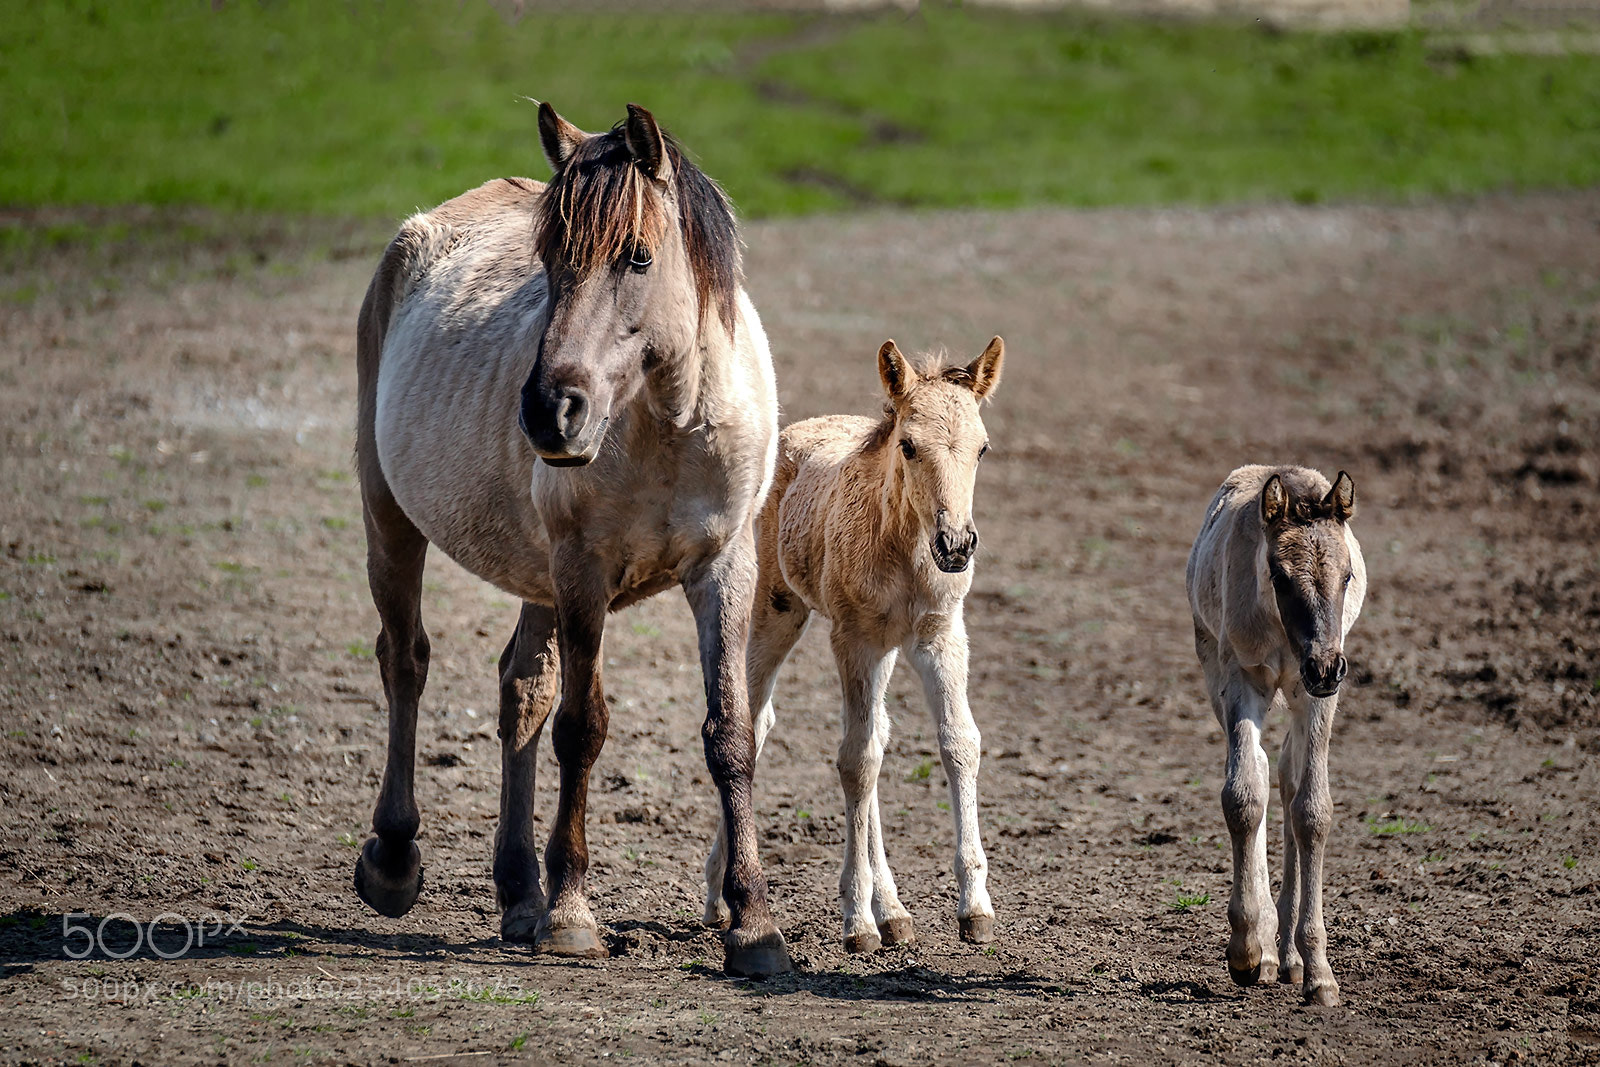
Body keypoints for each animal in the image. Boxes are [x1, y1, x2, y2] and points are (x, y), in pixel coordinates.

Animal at [351, 102, 790, 976]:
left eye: (637, 256)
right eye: (550, 257)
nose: (550, 410)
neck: (669, 423)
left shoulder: (724, 568)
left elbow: (729, 733)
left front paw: (754, 924)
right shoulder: (584, 572)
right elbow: (582, 729)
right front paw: (574, 910)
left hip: (537, 576)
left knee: (520, 686)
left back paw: (520, 888)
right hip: (392, 517)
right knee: (406, 661)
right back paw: (395, 857)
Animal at [705, 338, 1005, 953]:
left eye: (983, 448)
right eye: (909, 446)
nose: (956, 545)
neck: (907, 551)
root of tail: (799, 429)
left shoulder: (940, 635)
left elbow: (958, 743)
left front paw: (974, 907)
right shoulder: (854, 639)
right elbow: (857, 763)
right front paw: (856, 918)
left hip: (885, 648)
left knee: (877, 735)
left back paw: (894, 911)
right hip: (779, 613)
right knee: (759, 721)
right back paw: (722, 899)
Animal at [1185, 465, 1366, 1005]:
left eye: (1347, 576)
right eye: (1280, 576)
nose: (1325, 666)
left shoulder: (1318, 696)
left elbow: (1312, 810)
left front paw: (1319, 972)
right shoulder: (1240, 679)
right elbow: (1243, 795)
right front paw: (1247, 949)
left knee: (1286, 777)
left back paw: (1289, 956)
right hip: (1214, 667)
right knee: (1265, 771)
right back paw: (1269, 950)